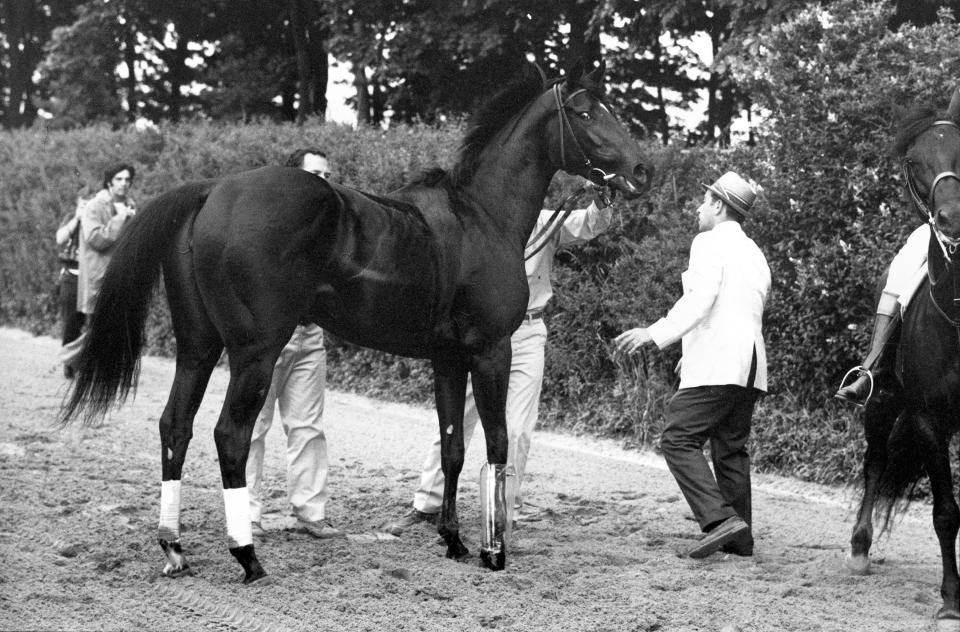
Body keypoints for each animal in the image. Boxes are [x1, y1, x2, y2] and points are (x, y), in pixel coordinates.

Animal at [58, 61, 652, 584]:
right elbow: (498, 444)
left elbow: (453, 447)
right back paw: (247, 557)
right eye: (585, 111)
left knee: (174, 426)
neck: (481, 216)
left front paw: (454, 541)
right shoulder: (490, 351)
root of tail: (212, 191)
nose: (642, 171)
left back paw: (174, 547)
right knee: (230, 435)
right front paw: (492, 550)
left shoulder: (447, 358)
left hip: (199, 347)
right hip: (254, 352)